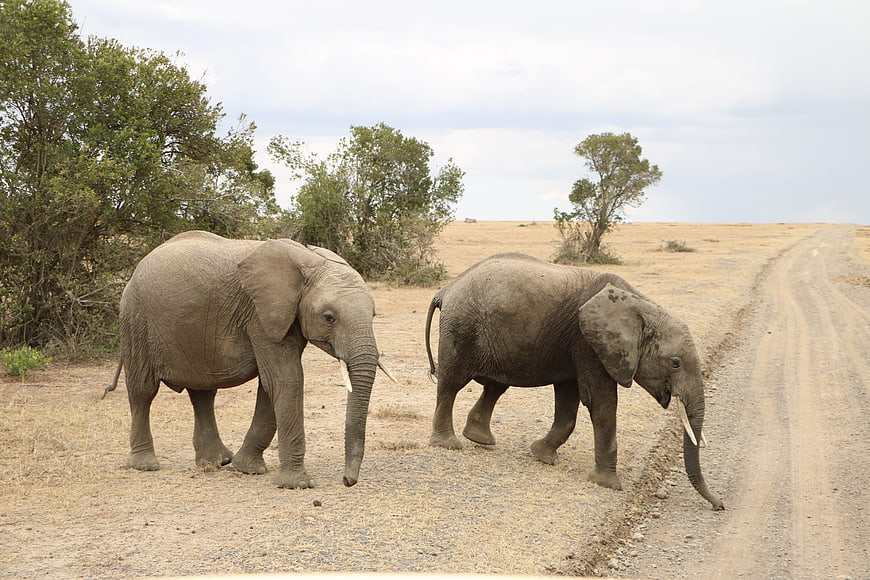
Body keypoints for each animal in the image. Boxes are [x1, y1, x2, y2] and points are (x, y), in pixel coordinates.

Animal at [110, 230, 390, 489]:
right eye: (329, 317)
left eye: (374, 314)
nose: (347, 480)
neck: (308, 260)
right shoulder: (259, 313)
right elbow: (286, 379)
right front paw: (297, 484)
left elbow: (271, 385)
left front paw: (247, 469)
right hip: (136, 318)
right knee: (143, 391)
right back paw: (145, 465)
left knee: (203, 392)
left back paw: (217, 462)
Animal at [425, 252, 723, 510]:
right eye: (675, 363)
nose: (718, 506)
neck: (640, 305)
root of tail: (446, 289)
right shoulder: (588, 342)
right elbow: (600, 402)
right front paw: (608, 484)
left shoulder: (575, 347)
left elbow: (569, 400)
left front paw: (543, 456)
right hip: (461, 327)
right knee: (451, 384)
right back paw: (448, 444)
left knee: (495, 387)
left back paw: (479, 439)